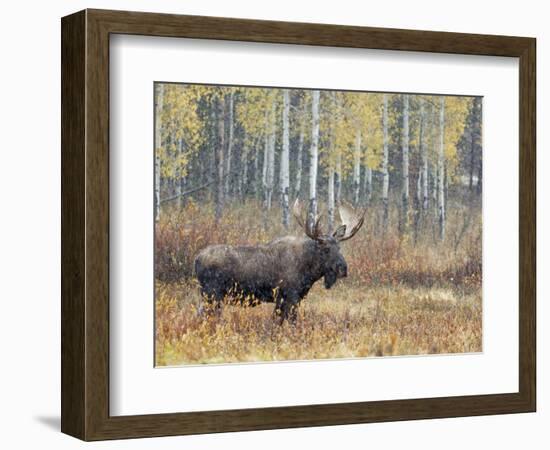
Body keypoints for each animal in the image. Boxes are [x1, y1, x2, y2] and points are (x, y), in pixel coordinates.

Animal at [194, 200, 366, 324]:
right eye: (326, 249)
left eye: (339, 247)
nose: (343, 268)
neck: (309, 272)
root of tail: (196, 259)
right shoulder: (289, 296)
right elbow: (288, 322)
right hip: (212, 293)